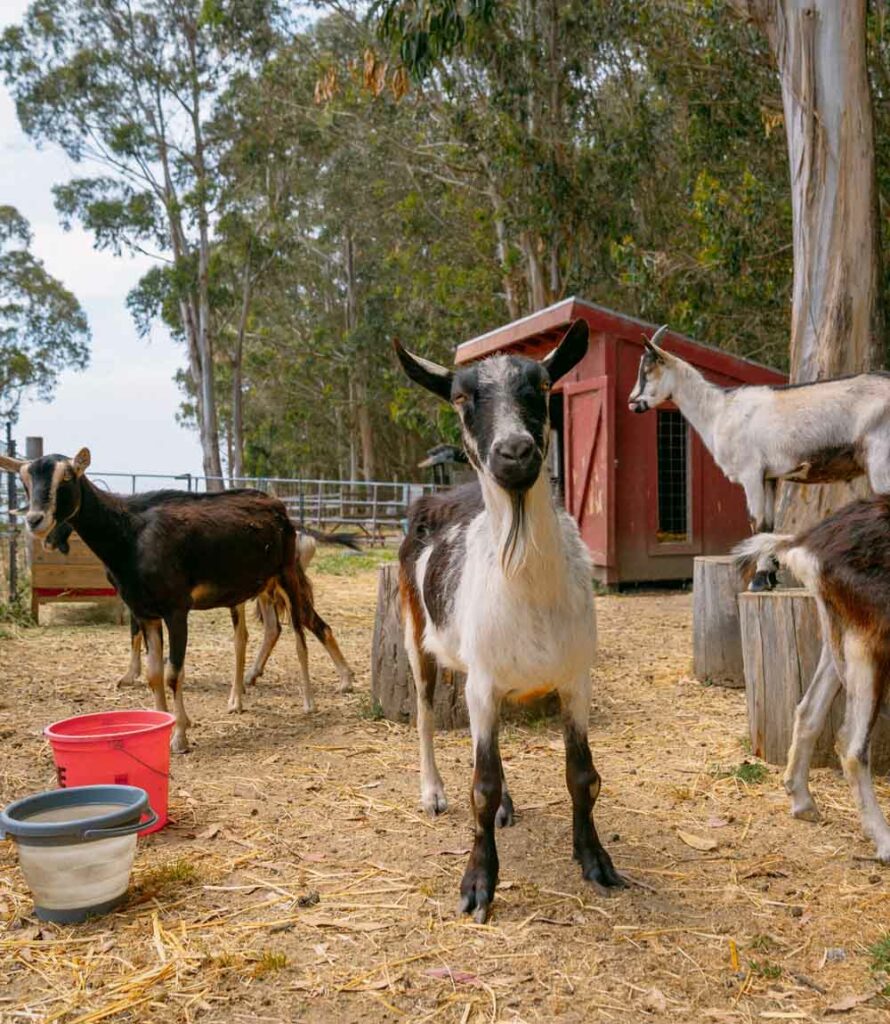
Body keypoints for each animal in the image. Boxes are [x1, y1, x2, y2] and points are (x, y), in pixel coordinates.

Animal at [1, 449, 354, 751]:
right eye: (24, 481)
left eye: (67, 477)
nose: (35, 520)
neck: (129, 534)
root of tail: (281, 509)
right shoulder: (145, 612)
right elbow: (154, 674)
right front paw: (164, 724)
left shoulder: (176, 610)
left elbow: (173, 673)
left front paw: (180, 737)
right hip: (251, 588)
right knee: (252, 635)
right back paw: (239, 698)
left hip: (286, 576)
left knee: (300, 635)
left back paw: (311, 702)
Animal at [394, 319, 624, 922]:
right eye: (460, 398)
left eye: (542, 385)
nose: (514, 452)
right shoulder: (483, 680)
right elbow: (481, 783)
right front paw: (478, 882)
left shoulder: (573, 678)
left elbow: (582, 776)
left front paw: (595, 860)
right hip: (415, 632)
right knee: (425, 714)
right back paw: (432, 792)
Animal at [628, 326, 890, 590]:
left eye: (648, 370)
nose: (632, 403)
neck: (719, 411)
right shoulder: (769, 477)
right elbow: (769, 525)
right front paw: (770, 576)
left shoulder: (750, 472)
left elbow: (758, 522)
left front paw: (759, 579)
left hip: (880, 458)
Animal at [734, 497, 890, 862]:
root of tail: (804, 544)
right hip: (868, 640)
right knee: (850, 745)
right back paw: (884, 841)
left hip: (837, 630)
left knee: (807, 711)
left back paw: (802, 802)